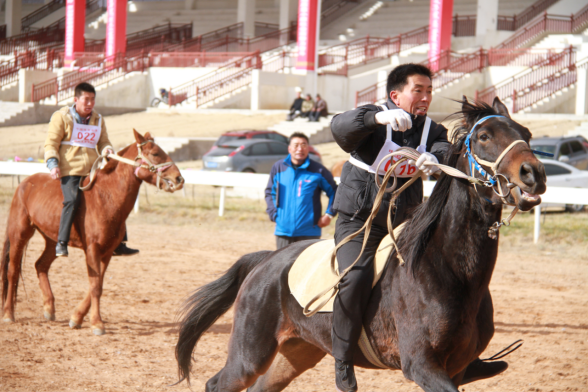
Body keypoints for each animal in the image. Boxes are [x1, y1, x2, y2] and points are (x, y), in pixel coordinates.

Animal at [1, 130, 184, 336]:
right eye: (154, 153)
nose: (179, 179)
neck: (106, 197)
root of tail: (25, 183)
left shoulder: (107, 252)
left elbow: (98, 284)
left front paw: (77, 318)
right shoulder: (93, 249)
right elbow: (95, 286)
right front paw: (97, 323)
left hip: (53, 241)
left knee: (40, 265)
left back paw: (49, 308)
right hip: (19, 234)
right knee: (12, 271)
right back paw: (8, 313)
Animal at [173, 99, 548, 392]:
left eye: (526, 134)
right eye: (484, 137)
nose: (534, 174)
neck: (448, 270)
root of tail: (267, 260)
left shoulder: (455, 368)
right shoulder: (422, 366)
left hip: (296, 352)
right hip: (250, 353)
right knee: (217, 383)